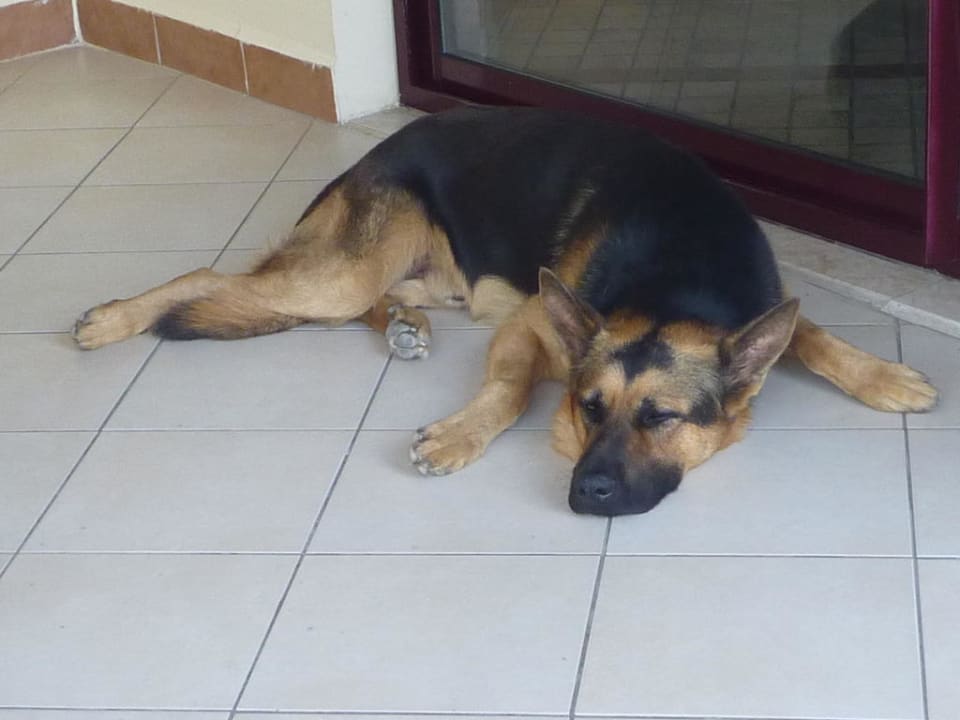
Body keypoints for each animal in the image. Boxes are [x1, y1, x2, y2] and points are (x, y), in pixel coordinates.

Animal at [73, 106, 938, 515]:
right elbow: (511, 391)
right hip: (342, 271)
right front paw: (460, 435)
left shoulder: (764, 310)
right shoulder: (531, 324)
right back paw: (113, 318)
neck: (677, 279)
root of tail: (362, 162)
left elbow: (815, 335)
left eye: (660, 419)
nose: (584, 494)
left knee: (359, 301)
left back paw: (403, 328)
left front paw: (884, 376)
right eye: (588, 408)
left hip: (417, 278)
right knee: (213, 276)